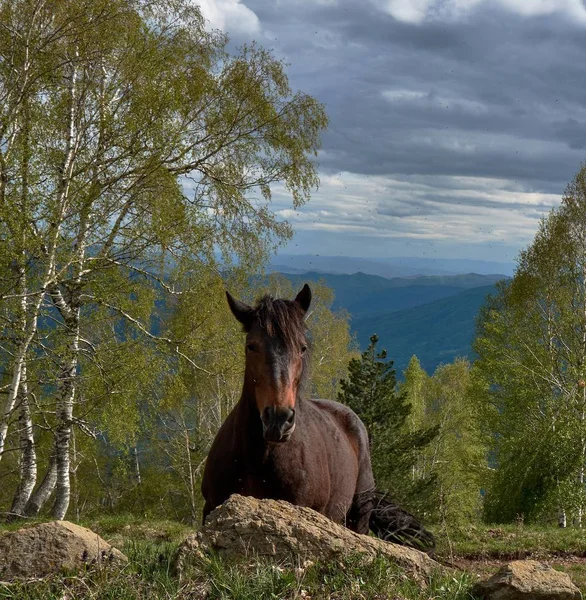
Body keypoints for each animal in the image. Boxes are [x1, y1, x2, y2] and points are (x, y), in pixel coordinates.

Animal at [201, 286, 434, 552]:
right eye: (251, 346)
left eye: (302, 348)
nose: (278, 420)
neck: (258, 459)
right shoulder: (211, 508)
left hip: (358, 513)